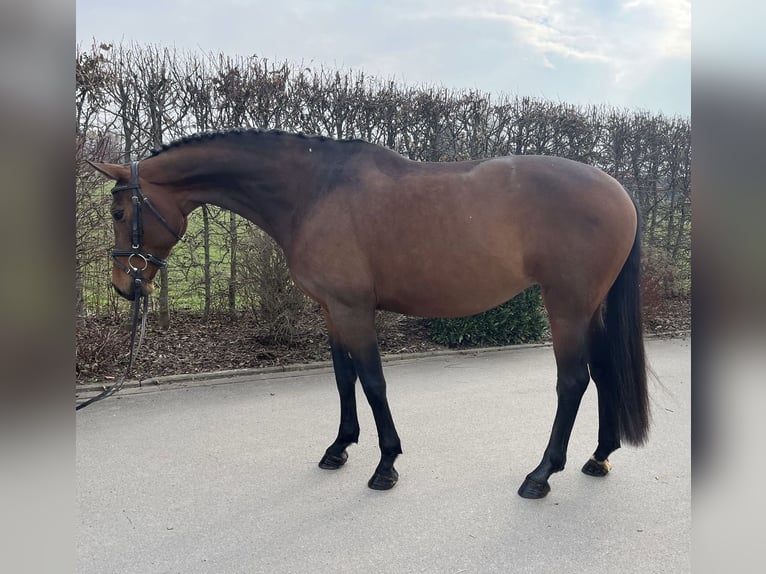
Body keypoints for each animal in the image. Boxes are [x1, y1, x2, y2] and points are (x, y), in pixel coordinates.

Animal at [89, 129, 649, 499]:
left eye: (118, 212)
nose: (123, 286)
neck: (315, 191)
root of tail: (621, 191)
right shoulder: (331, 310)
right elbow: (344, 378)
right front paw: (339, 448)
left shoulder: (354, 309)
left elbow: (373, 381)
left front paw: (385, 465)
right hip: (590, 309)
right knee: (603, 373)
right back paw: (598, 457)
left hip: (567, 306)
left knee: (573, 381)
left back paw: (540, 474)